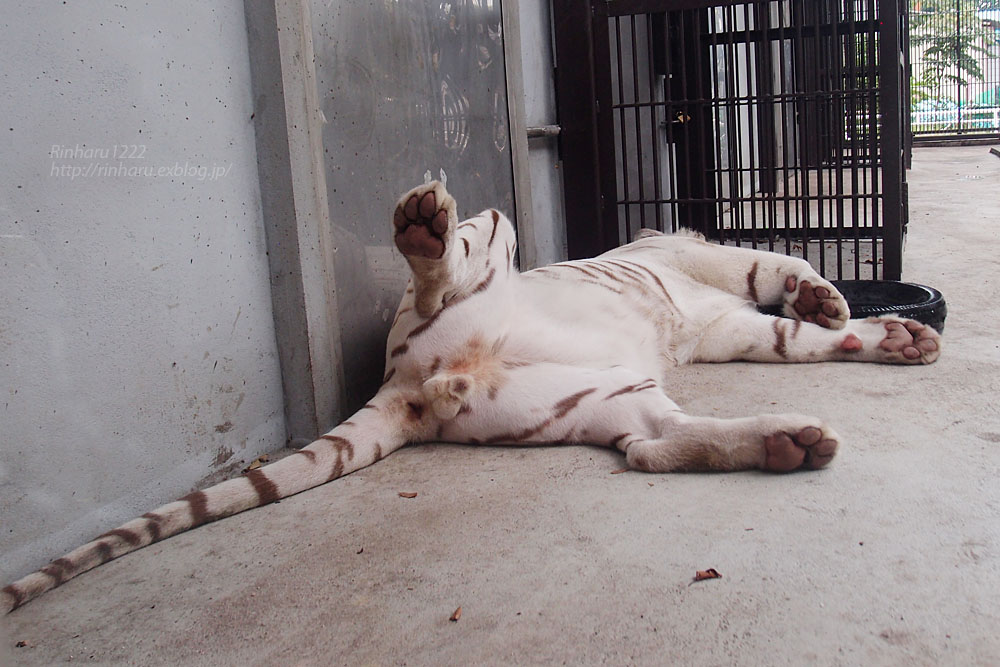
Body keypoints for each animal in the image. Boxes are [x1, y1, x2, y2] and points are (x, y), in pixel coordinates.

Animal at [0, 180, 940, 612]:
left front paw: (895, 339)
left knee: (651, 443)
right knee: (445, 272)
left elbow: (789, 338)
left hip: (602, 392)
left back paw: (789, 441)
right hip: (484, 269)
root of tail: (408, 383)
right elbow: (777, 266)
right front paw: (835, 301)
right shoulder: (703, 267)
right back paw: (429, 225)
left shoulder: (717, 327)